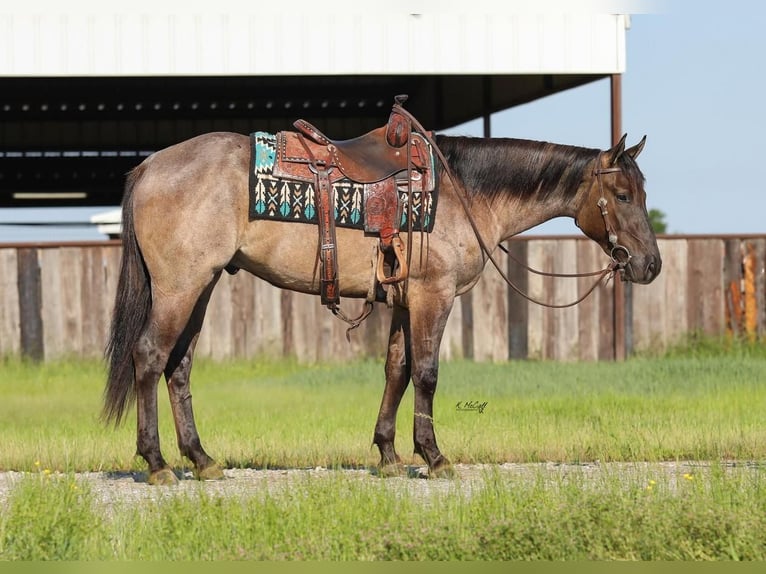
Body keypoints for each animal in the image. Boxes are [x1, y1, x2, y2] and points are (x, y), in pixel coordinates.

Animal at [105, 126, 664, 486]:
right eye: (621, 194)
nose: (650, 265)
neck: (465, 193)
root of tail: (150, 165)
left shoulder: (403, 302)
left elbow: (396, 370)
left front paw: (389, 454)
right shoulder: (433, 296)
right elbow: (427, 373)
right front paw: (434, 457)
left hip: (201, 287)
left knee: (179, 367)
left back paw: (202, 460)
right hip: (180, 287)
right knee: (150, 356)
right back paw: (157, 464)